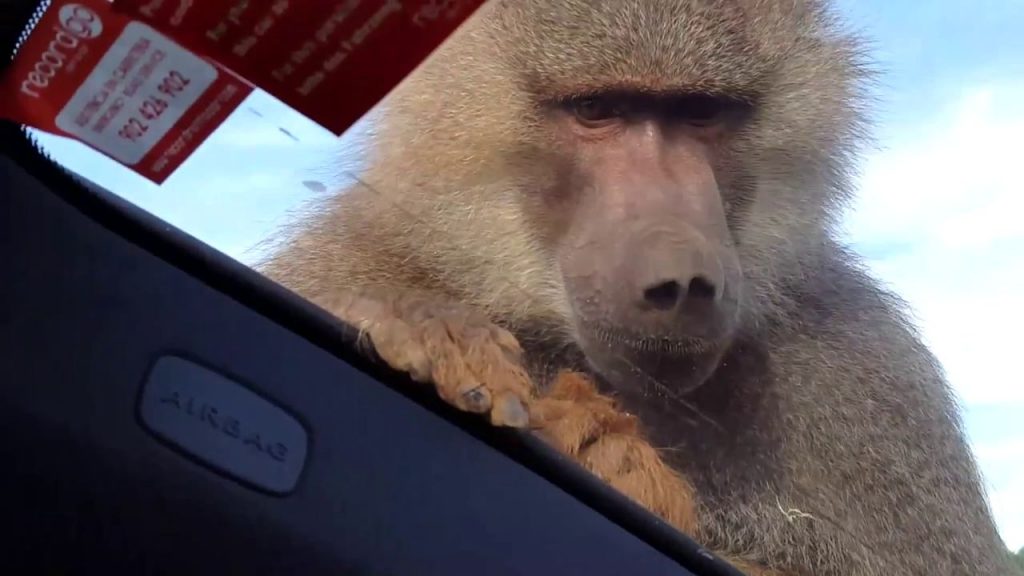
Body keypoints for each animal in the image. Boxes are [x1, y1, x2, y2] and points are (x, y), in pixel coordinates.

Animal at [259, 0, 1015, 574]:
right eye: (598, 109)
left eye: (701, 113)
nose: (682, 280)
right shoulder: (345, 259)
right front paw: (424, 327)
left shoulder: (873, 377)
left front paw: (614, 461)